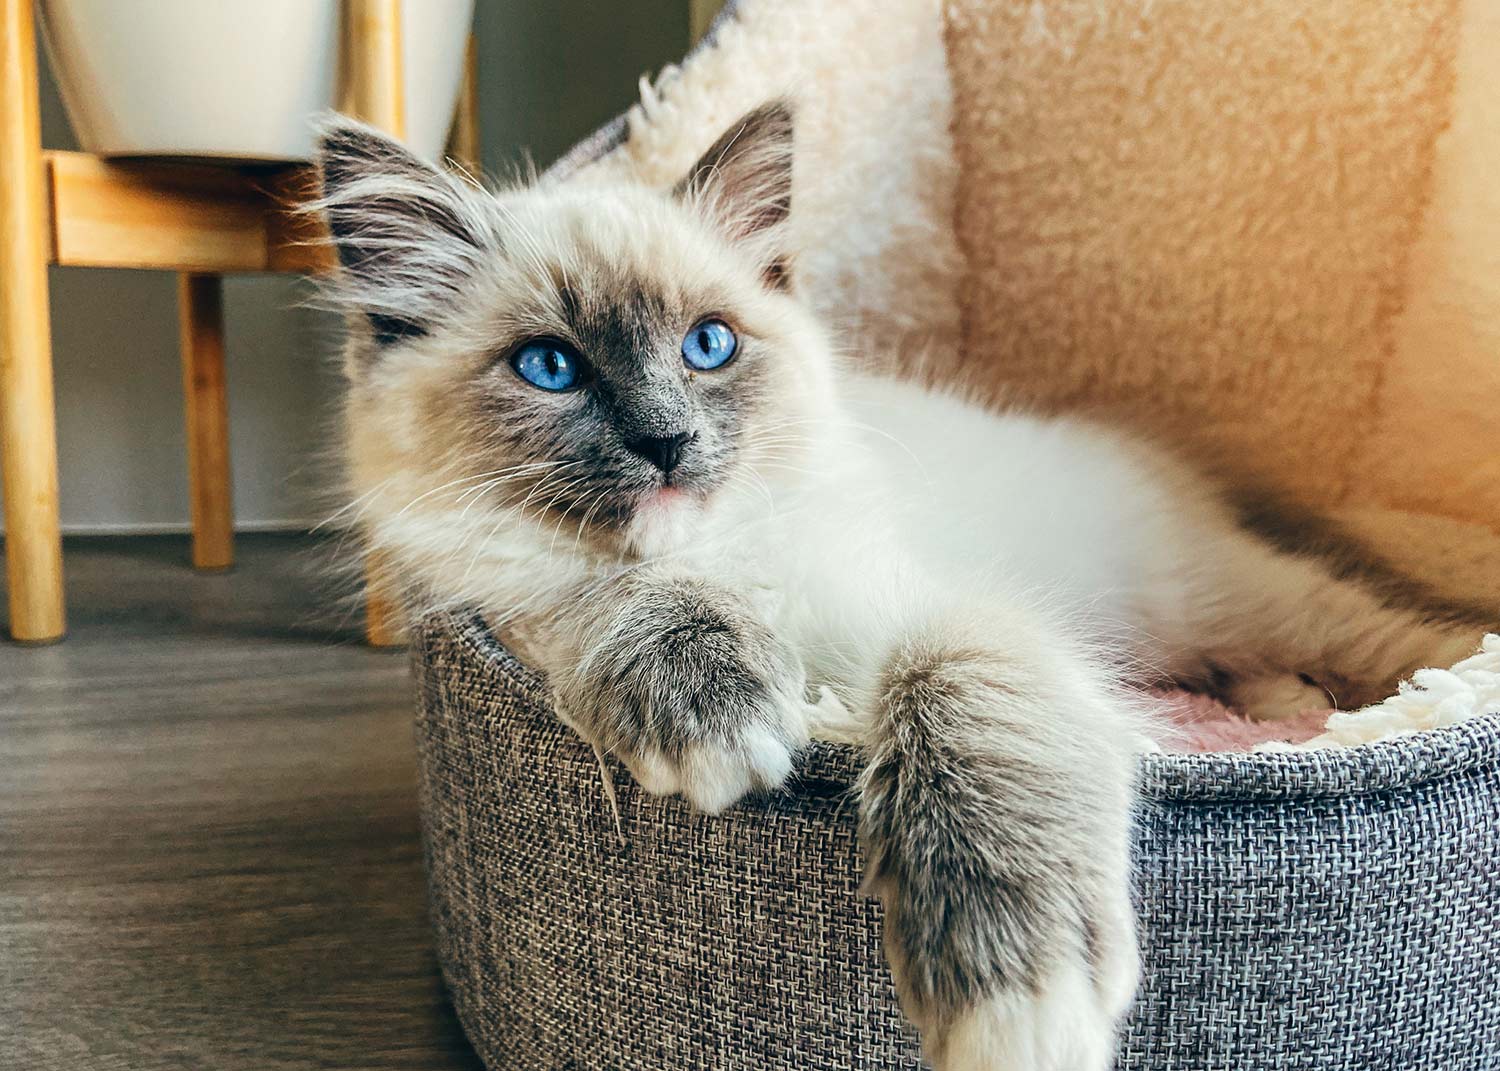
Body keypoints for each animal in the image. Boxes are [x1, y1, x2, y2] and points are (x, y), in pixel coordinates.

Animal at [312, 103, 1487, 1071]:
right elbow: (612, 605)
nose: (667, 442)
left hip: (1229, 598)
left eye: (708, 346)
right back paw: (1285, 707)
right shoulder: (508, 589)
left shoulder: (935, 613)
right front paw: (712, 711)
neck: (731, 561)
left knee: (1385, 635)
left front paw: (1013, 1002)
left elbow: (957, 697)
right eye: (550, 368)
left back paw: (1425, 679)